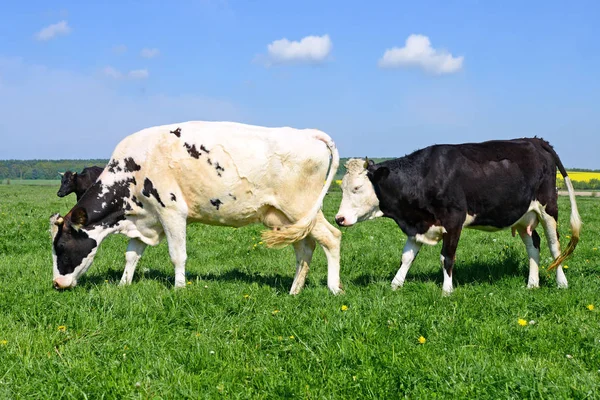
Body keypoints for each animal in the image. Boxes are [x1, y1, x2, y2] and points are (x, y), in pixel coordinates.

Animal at [50, 119, 342, 294]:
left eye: (61, 247)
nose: (56, 283)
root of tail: (307, 133)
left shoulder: (171, 212)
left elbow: (177, 255)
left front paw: (179, 288)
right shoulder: (144, 217)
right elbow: (132, 255)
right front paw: (124, 284)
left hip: (300, 207)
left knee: (332, 237)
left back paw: (333, 289)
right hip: (285, 218)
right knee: (304, 247)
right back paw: (294, 291)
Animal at [336, 136, 580, 296]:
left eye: (357, 188)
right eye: (342, 187)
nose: (339, 219)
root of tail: (535, 140)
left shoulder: (454, 221)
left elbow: (447, 257)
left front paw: (447, 290)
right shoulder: (418, 224)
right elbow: (406, 257)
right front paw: (395, 284)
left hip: (549, 207)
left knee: (555, 246)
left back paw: (562, 283)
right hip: (523, 216)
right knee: (534, 244)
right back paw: (532, 284)